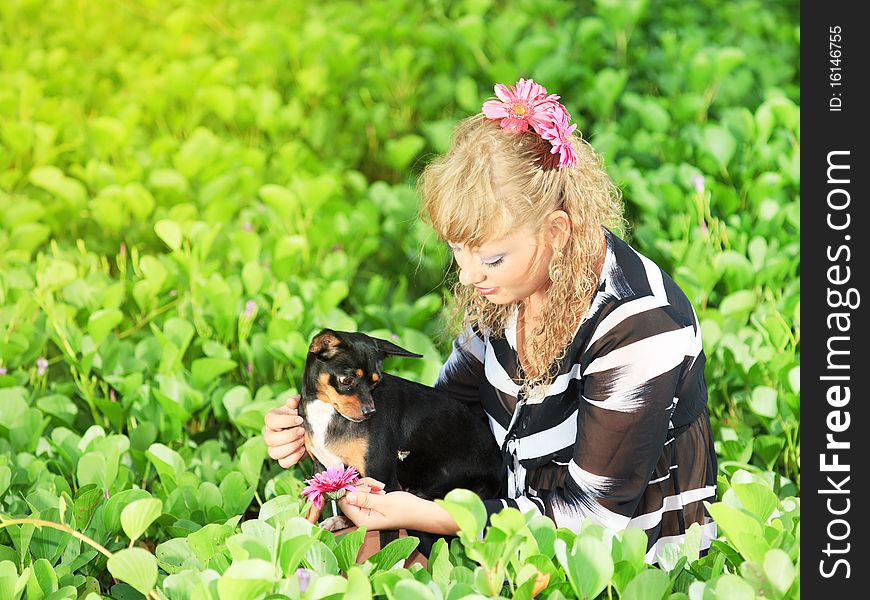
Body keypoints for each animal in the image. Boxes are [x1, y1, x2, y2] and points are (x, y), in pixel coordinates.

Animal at [300, 328, 504, 528]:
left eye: (375, 382)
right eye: (346, 380)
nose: (370, 412)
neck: (327, 412)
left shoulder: (382, 479)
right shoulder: (320, 471)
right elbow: (311, 511)